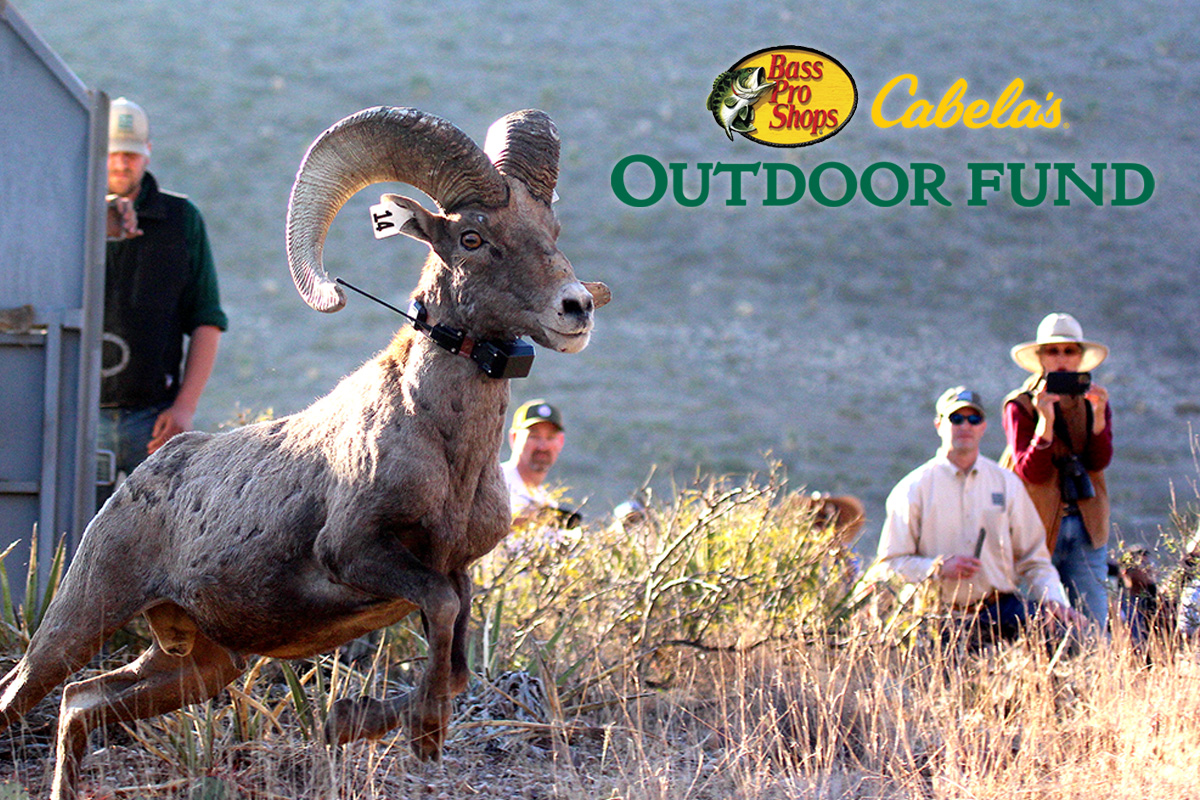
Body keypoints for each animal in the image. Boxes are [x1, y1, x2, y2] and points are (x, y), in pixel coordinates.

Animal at [0, 105, 610, 800]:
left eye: (551, 230)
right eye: (473, 239)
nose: (576, 307)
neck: (449, 454)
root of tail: (137, 479)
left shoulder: (454, 571)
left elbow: (454, 661)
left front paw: (354, 723)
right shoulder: (358, 553)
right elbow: (440, 620)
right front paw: (417, 734)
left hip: (198, 665)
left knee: (80, 703)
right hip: (82, 618)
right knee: (24, 692)